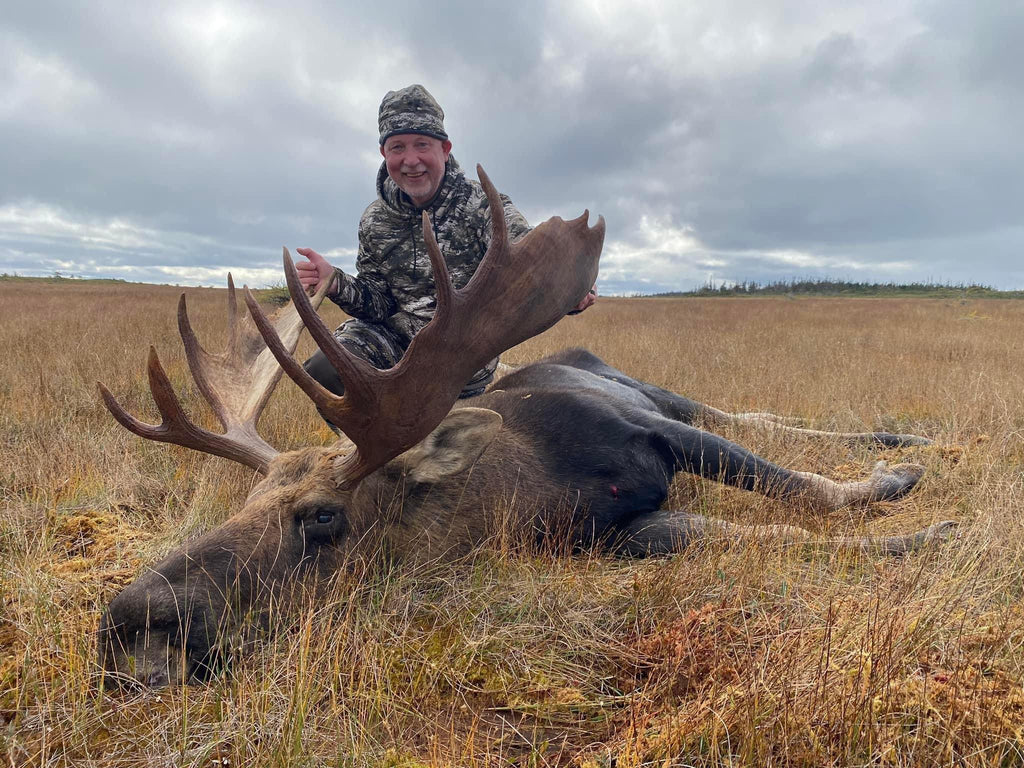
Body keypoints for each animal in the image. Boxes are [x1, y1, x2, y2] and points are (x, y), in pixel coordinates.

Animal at [96, 167, 955, 688]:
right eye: (241, 504)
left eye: (324, 518)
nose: (133, 618)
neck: (532, 488)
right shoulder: (607, 535)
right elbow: (728, 531)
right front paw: (909, 526)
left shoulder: (640, 427)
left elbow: (804, 489)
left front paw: (910, 503)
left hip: (646, 389)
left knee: (746, 416)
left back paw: (908, 442)